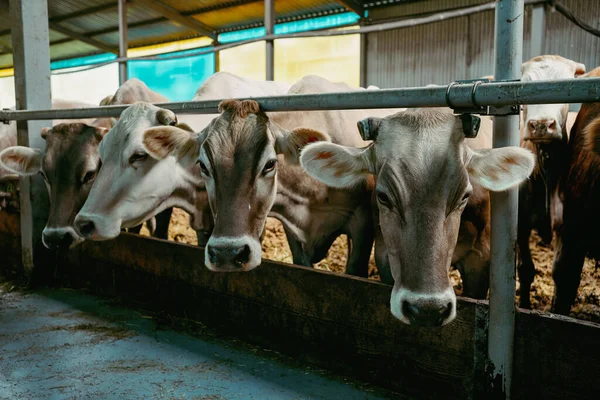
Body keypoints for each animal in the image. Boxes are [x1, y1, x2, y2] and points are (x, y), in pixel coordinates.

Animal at [516, 54, 584, 308]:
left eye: (567, 85)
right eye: (524, 85)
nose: (542, 125)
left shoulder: (567, 227)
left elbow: (563, 275)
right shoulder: (520, 222)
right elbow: (525, 269)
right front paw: (525, 306)